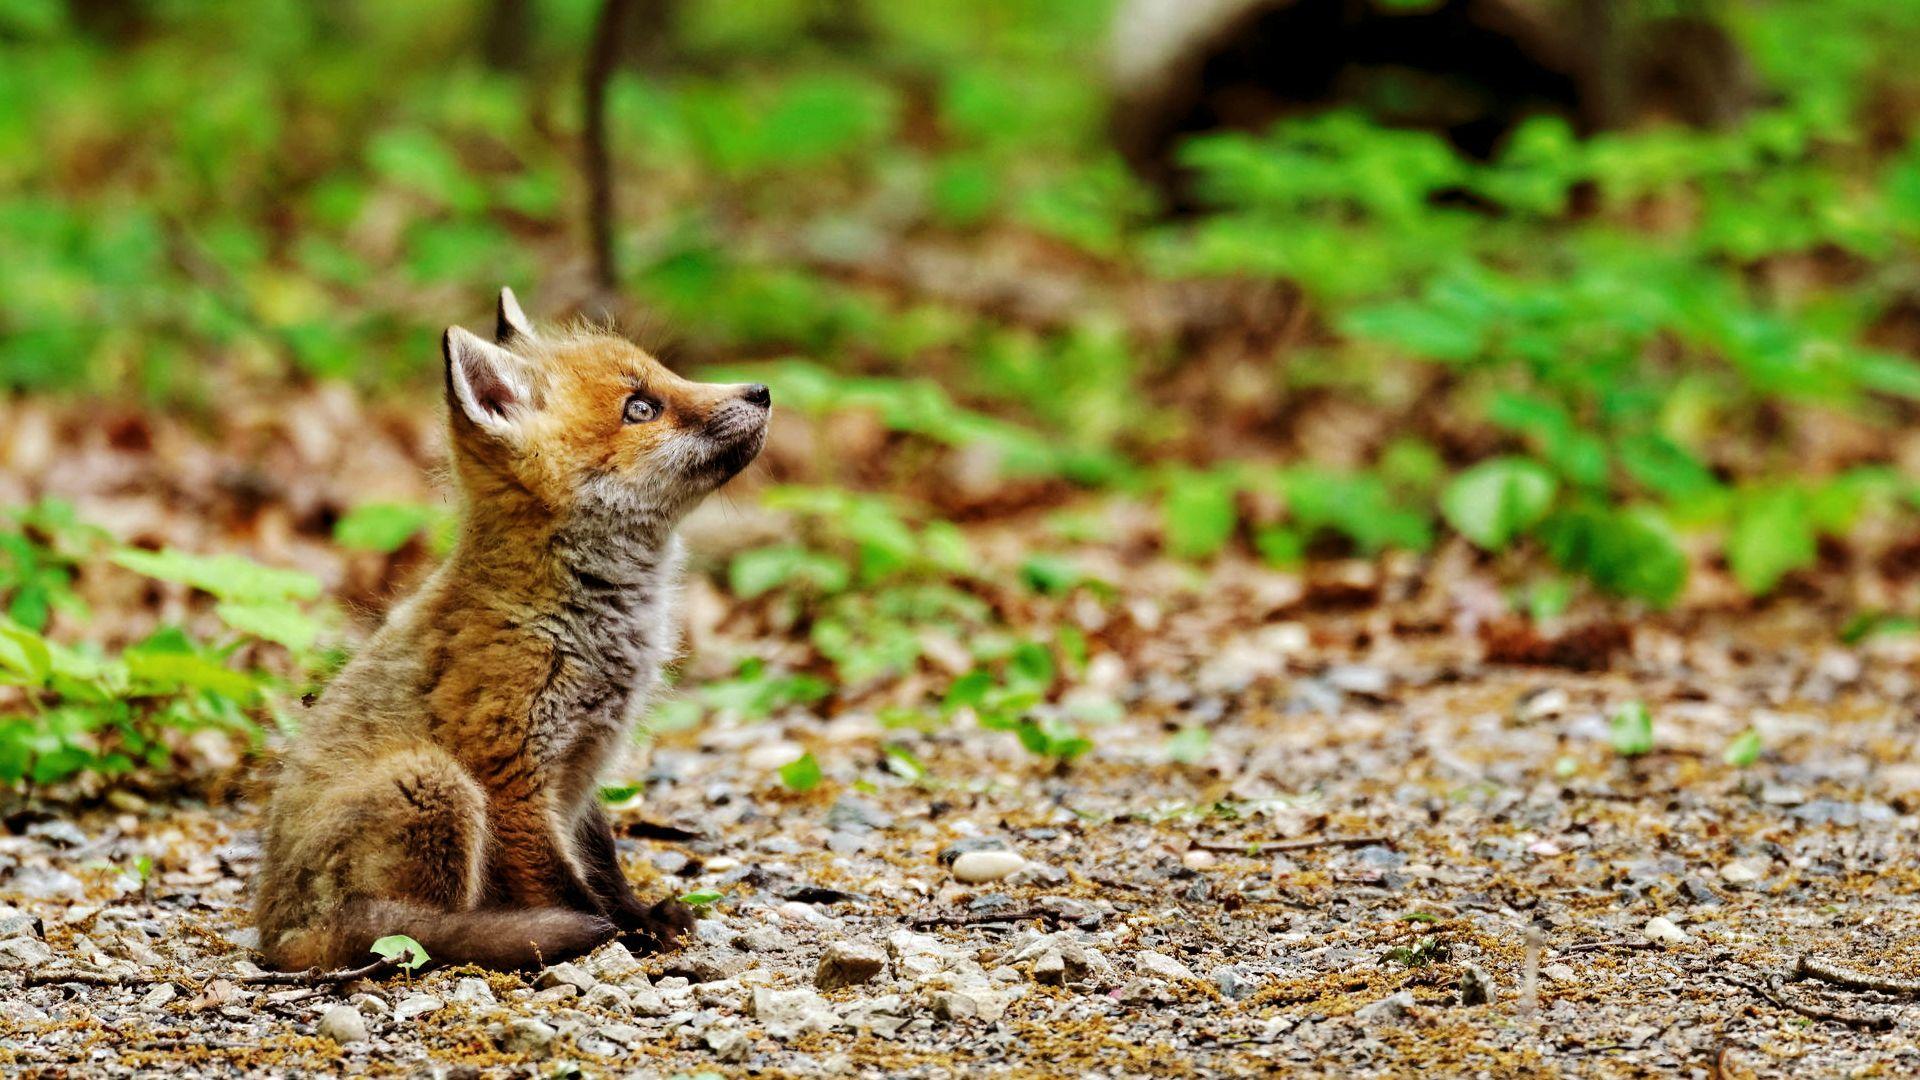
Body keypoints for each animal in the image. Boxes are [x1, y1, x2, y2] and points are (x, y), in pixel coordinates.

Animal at [253, 287, 770, 971]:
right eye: (641, 407)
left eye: (666, 376)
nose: (762, 390)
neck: (572, 624)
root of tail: (274, 937)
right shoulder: (510, 773)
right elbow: (566, 887)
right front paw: (619, 936)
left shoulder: (582, 770)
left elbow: (603, 865)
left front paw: (639, 918)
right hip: (435, 783)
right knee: (401, 935)